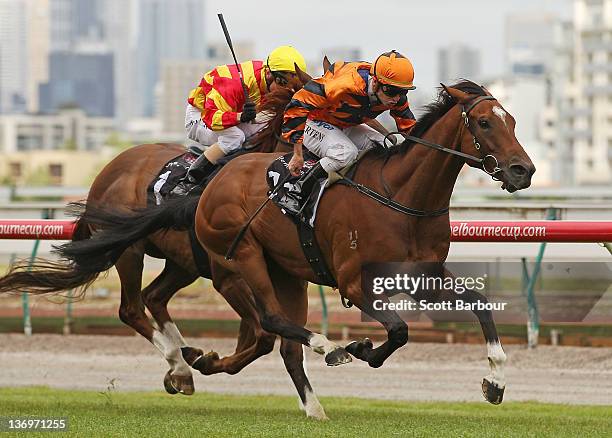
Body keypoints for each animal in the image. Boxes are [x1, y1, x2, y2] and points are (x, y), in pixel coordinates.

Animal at [0, 71, 334, 418]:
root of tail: (108, 171)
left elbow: (266, 339)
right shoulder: (229, 278)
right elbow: (263, 335)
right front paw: (205, 361)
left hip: (182, 263)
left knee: (154, 296)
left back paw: (182, 359)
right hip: (130, 252)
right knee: (132, 308)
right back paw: (180, 365)